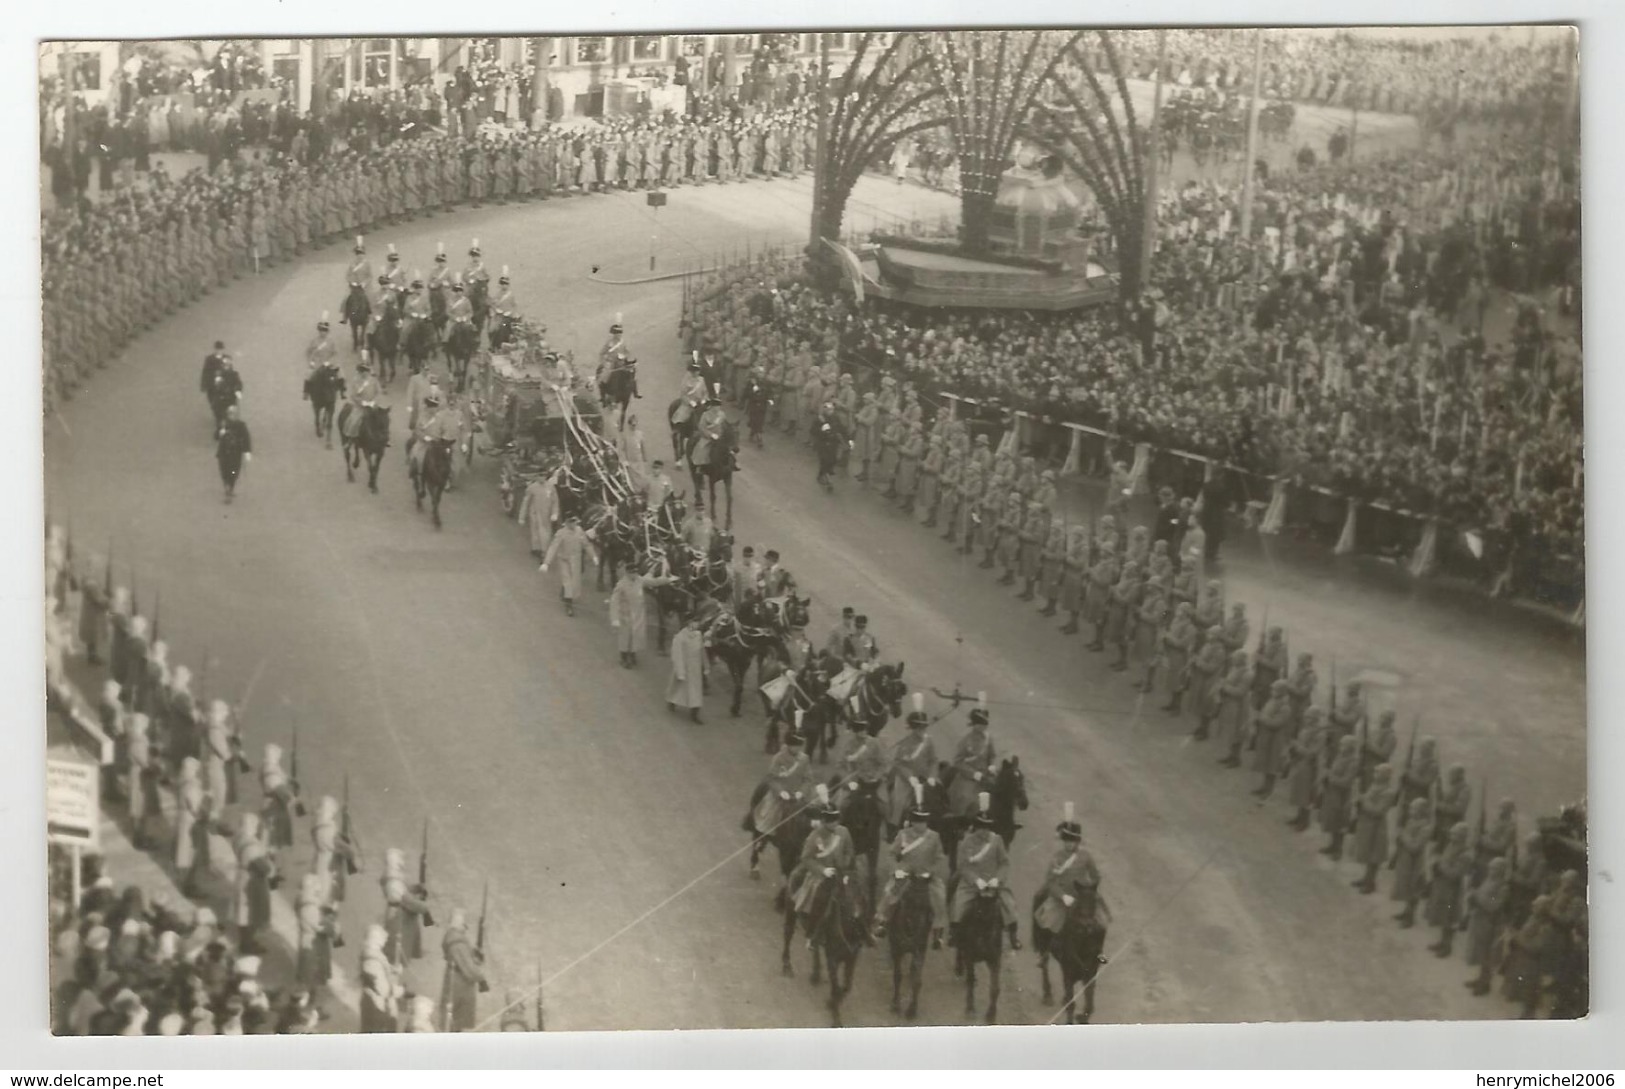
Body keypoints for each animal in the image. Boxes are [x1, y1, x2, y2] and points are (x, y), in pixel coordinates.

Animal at [783, 871, 871, 1033]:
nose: (856, 918)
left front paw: (832, 1002)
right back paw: (787, 966)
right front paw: (835, 1017)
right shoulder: (832, 959)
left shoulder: (852, 959)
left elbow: (846, 987)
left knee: (815, 945)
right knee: (788, 934)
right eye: (845, 899)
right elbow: (836, 988)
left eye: (861, 897)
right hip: (790, 911)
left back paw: (816, 974)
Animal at [884, 871, 936, 1027]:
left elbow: (917, 981)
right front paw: (895, 1004)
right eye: (910, 900)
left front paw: (912, 1009)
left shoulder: (920, 949)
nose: (915, 931)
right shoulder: (897, 949)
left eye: (926, 904)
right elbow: (897, 976)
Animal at [1033, 890, 1111, 1027]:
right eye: (1077, 931)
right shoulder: (1071, 972)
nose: (1093, 956)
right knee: (1045, 966)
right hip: (1043, 944)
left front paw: (1082, 1018)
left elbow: (1090, 1005)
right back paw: (1048, 995)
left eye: (1099, 934)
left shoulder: (1090, 976)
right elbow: (1072, 1004)